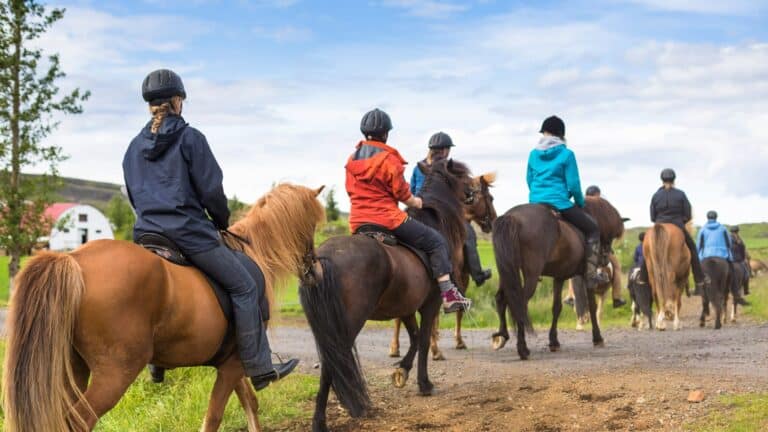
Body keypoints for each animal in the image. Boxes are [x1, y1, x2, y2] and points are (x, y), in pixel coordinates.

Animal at [0, 184, 324, 432]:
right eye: (311, 225)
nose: (316, 271)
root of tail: (74, 260)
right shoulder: (235, 363)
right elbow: (214, 417)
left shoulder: (231, 362)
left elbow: (249, 404)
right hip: (114, 373)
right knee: (79, 421)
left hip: (72, 368)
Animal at [300, 159, 474, 432]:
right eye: (463, 176)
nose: (472, 192)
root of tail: (321, 261)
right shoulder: (430, 304)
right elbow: (425, 340)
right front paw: (424, 384)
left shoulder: (406, 307)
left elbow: (415, 338)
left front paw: (402, 371)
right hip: (347, 325)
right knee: (332, 363)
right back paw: (323, 420)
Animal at [388, 170, 500, 360]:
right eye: (490, 198)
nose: (493, 221)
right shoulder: (461, 277)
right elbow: (458, 310)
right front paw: (457, 342)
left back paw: (395, 348)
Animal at [492, 197, 624, 360]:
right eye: (610, 235)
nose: (605, 260)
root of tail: (512, 217)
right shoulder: (585, 276)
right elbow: (592, 306)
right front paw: (597, 338)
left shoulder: (559, 277)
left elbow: (556, 308)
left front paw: (554, 341)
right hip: (531, 275)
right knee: (519, 303)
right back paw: (522, 349)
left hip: (507, 270)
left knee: (502, 298)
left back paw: (501, 336)